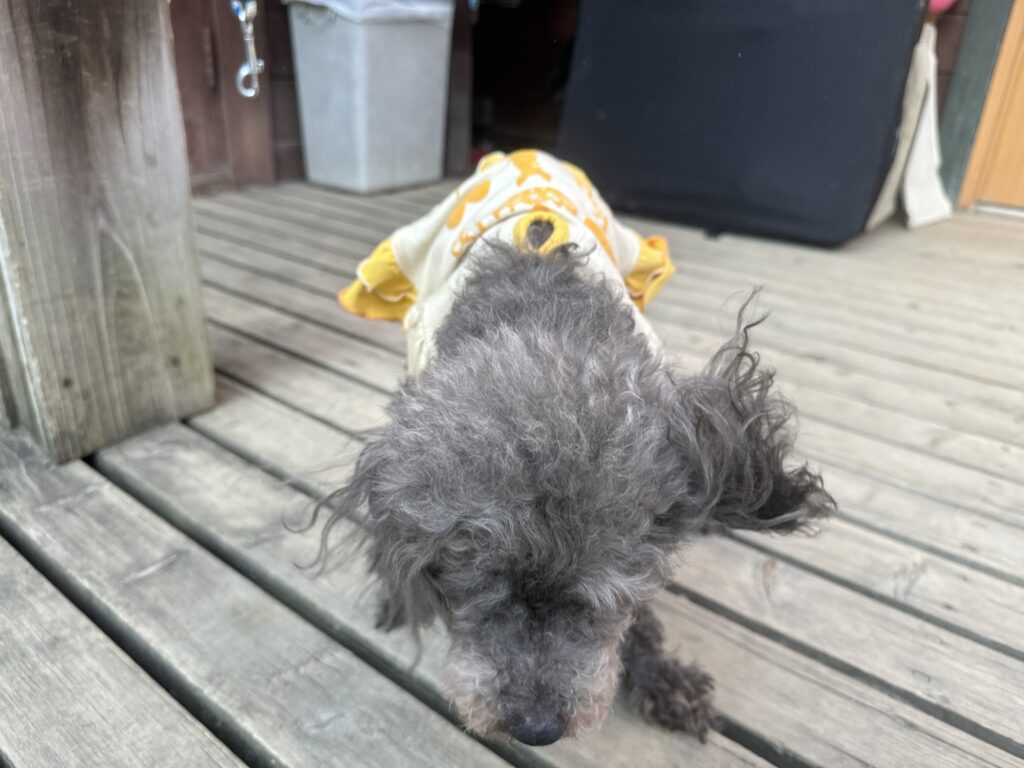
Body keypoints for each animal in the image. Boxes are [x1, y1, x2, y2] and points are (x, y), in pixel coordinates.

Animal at [315, 150, 834, 746]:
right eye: (475, 585)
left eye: (602, 598)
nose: (536, 728)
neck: (542, 321)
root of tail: (525, 154)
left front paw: (661, 675)